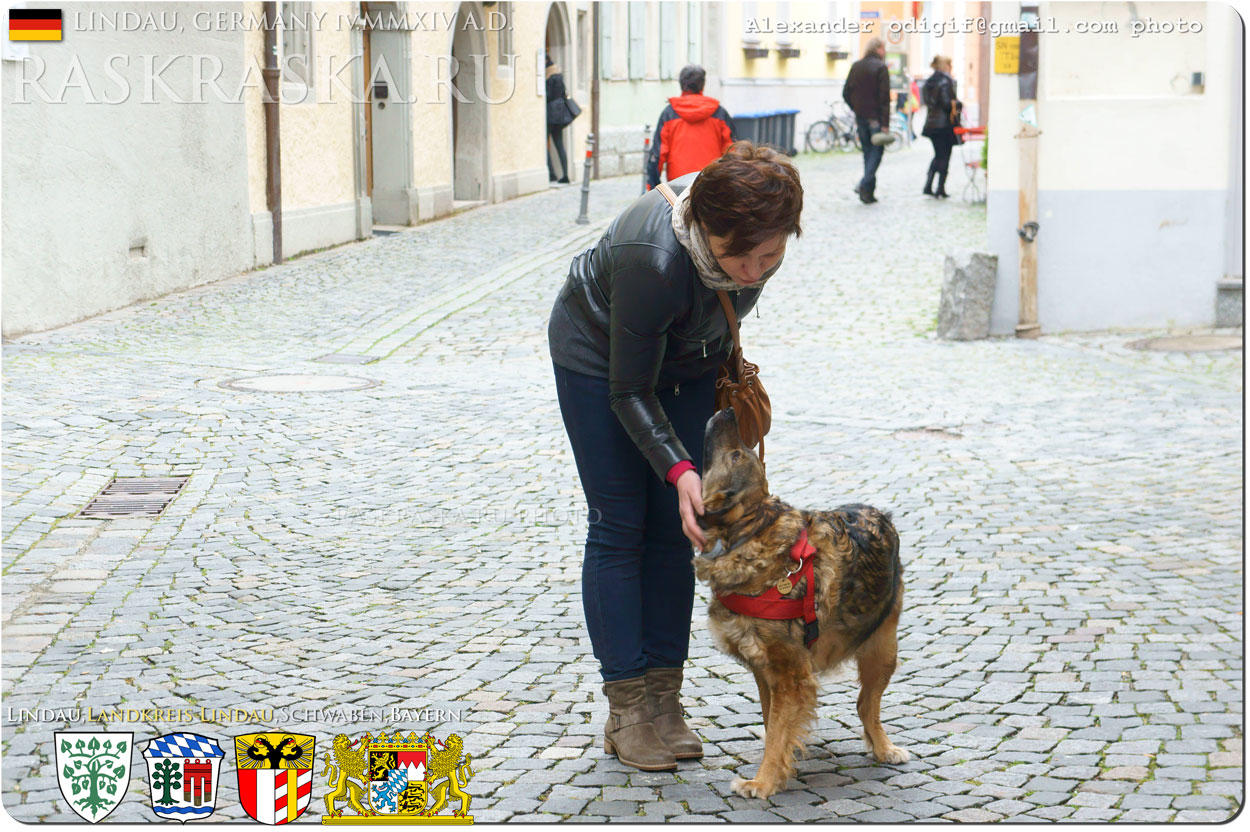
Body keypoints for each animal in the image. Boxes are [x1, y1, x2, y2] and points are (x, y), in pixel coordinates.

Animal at [695, 407, 910, 799]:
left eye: (736, 455)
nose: (727, 410)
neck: (749, 539)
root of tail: (877, 513)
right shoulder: (765, 671)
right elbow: (773, 724)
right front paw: (781, 766)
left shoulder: (792, 674)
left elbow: (779, 730)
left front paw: (762, 782)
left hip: (882, 645)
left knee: (866, 704)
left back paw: (884, 748)